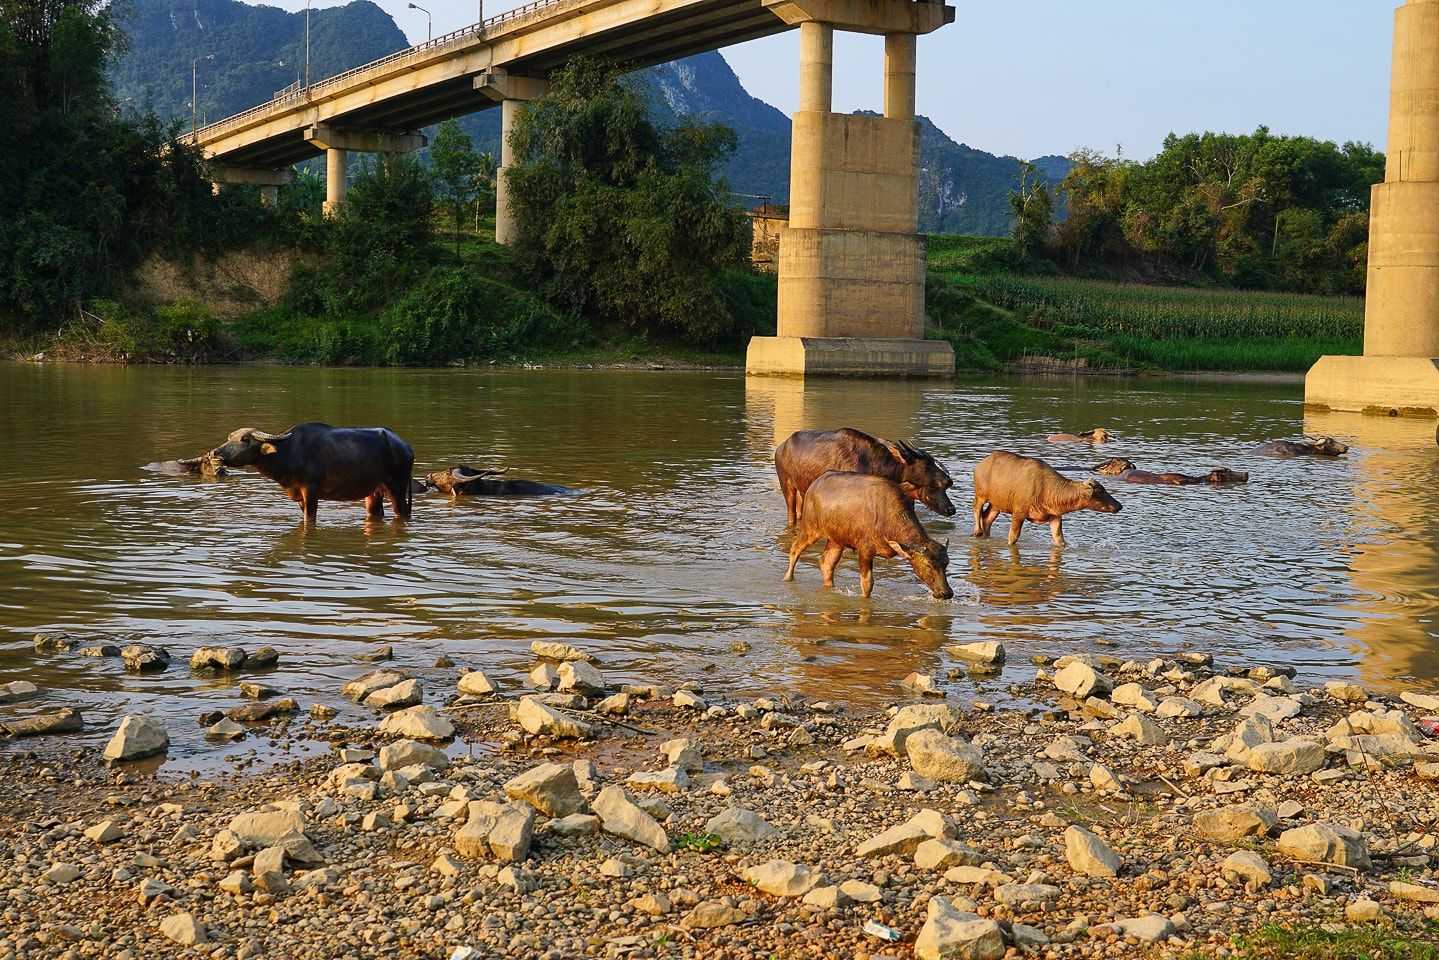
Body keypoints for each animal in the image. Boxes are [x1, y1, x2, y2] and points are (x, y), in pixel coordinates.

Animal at [207, 423, 417, 521]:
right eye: (230, 437)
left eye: (244, 439)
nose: (214, 453)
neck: (289, 454)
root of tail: (406, 446)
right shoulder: (299, 496)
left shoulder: (311, 491)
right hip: (373, 493)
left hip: (397, 488)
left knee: (402, 513)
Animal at [771, 426, 961, 521]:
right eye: (927, 463)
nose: (949, 480)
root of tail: (781, 447)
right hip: (787, 486)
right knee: (791, 514)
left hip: (803, 490)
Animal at [782, 472, 949, 601]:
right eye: (929, 565)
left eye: (946, 563)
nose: (947, 593)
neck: (887, 518)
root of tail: (814, 486)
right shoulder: (865, 549)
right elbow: (867, 583)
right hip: (810, 528)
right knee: (795, 548)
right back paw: (788, 578)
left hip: (836, 540)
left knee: (826, 563)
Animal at [967, 451, 1122, 546]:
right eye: (1101, 491)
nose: (1119, 505)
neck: (1047, 491)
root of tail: (981, 464)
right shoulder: (1019, 513)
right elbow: (1012, 538)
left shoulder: (1055, 517)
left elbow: (1059, 541)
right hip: (981, 495)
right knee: (976, 508)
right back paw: (977, 531)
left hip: (996, 504)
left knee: (987, 518)